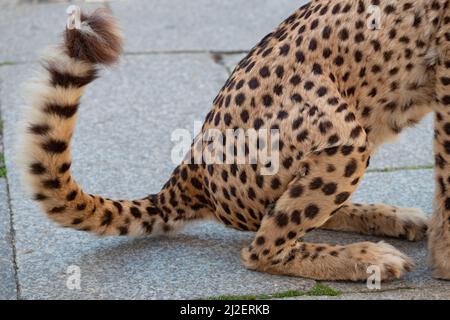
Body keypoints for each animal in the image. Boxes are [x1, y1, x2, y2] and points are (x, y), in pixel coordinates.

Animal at [17, 0, 450, 282]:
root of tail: (190, 166)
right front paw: (445, 263)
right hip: (342, 133)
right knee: (261, 248)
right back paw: (366, 258)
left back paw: (391, 218)